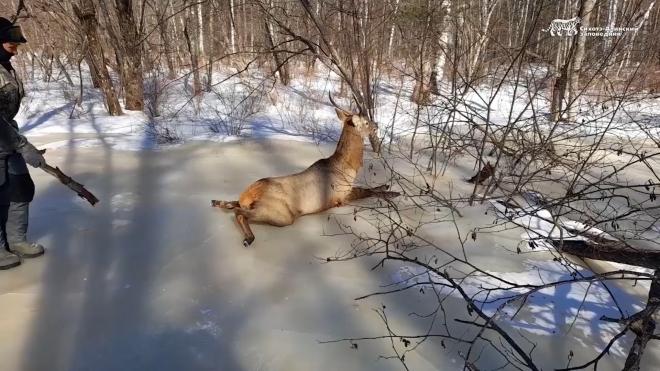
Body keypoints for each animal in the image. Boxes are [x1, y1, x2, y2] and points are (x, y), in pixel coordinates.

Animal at [211, 98, 398, 247]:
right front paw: (393, 192)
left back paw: (217, 201)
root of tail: (249, 195)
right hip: (280, 213)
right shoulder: (341, 196)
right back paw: (248, 238)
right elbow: (367, 191)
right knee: (239, 213)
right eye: (366, 122)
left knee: (233, 204)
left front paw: (387, 185)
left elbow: (370, 188)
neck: (349, 168)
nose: (377, 124)